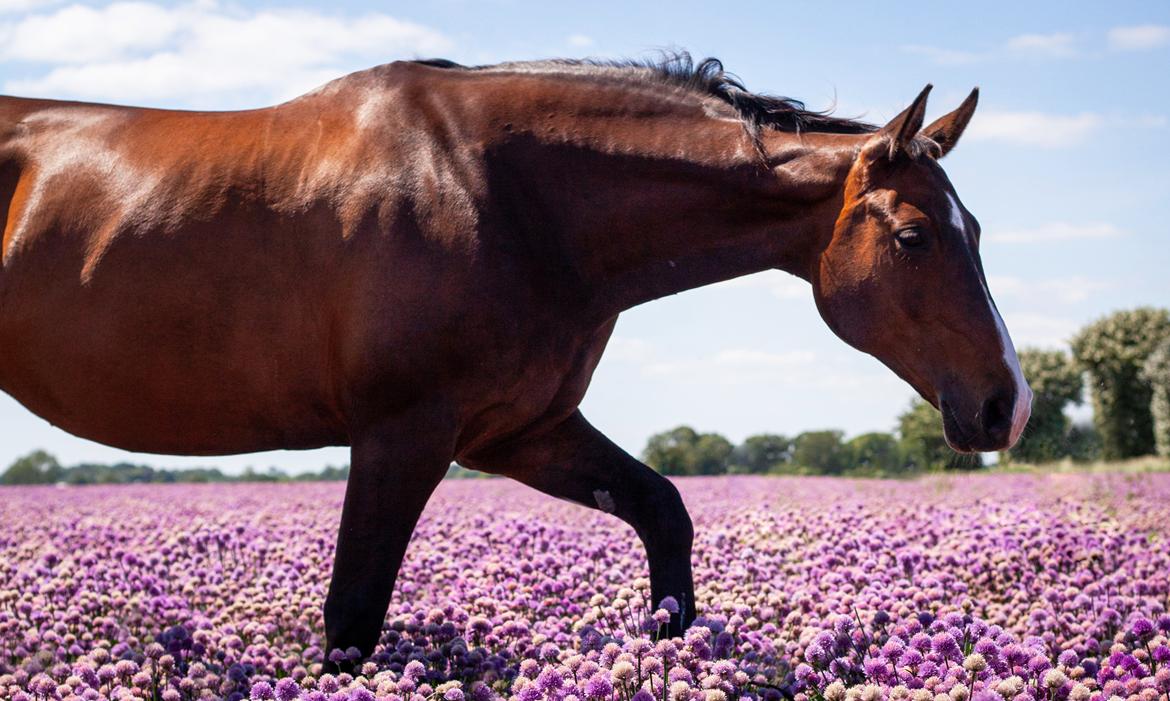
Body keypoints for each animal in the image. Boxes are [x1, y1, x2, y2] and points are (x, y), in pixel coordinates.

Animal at [0, 55, 1029, 664]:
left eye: (978, 230)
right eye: (912, 238)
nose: (1008, 406)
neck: (506, 196)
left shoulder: (519, 430)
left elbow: (664, 510)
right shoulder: (402, 434)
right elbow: (353, 611)